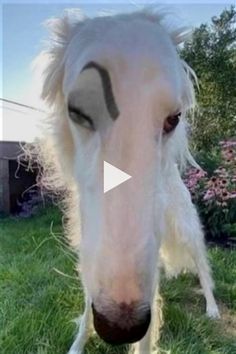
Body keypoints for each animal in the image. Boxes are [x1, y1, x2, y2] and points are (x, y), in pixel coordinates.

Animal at [35, 7, 219, 354]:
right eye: (77, 111)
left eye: (174, 118)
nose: (120, 328)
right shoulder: (91, 257)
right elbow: (86, 311)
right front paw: (78, 344)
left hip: (185, 227)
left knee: (203, 266)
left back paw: (213, 308)